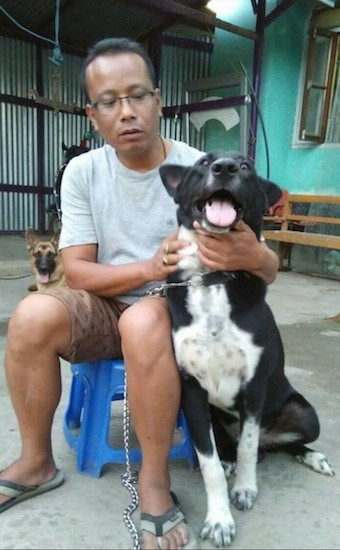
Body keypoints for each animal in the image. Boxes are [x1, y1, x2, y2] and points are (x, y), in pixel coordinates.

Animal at [160, 150, 334, 548]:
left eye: (247, 167)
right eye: (202, 163)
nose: (224, 168)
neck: (211, 279)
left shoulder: (254, 385)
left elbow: (249, 446)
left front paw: (245, 488)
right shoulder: (191, 392)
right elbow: (208, 464)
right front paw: (220, 519)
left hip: (305, 413)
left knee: (277, 443)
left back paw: (312, 458)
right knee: (234, 448)